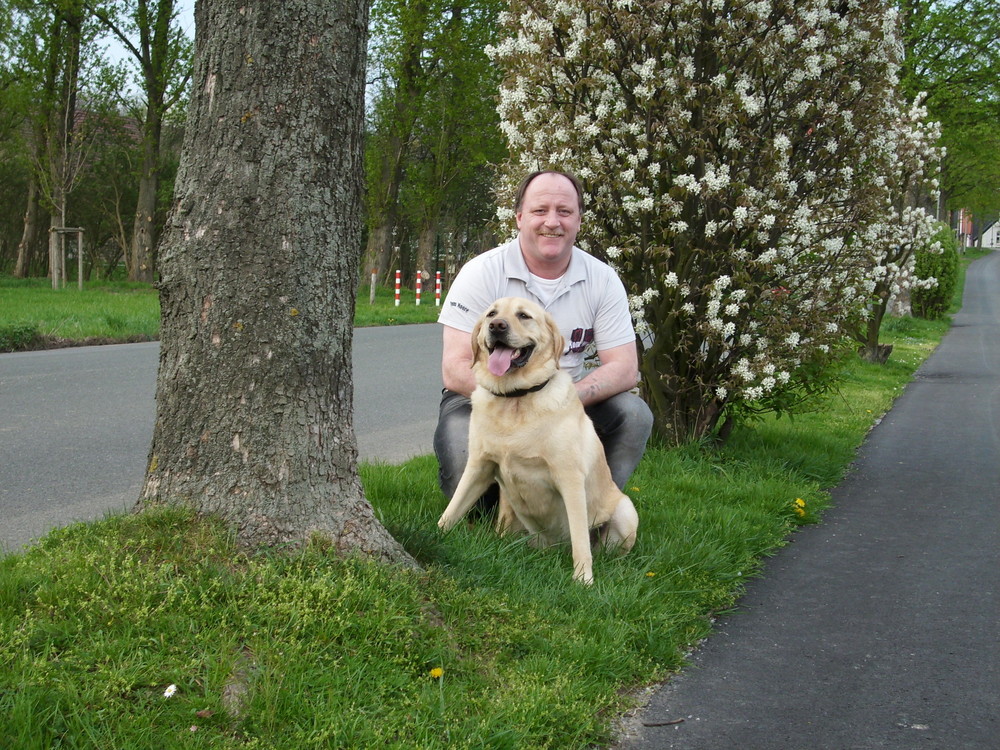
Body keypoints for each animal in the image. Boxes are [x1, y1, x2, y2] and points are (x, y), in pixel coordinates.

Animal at [440, 296, 640, 584]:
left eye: (524, 315)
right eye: (491, 314)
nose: (496, 326)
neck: (515, 398)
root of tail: (552, 549)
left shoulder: (570, 478)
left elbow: (580, 538)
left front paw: (583, 580)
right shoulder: (479, 466)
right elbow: (452, 509)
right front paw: (435, 535)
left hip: (625, 511)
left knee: (604, 549)